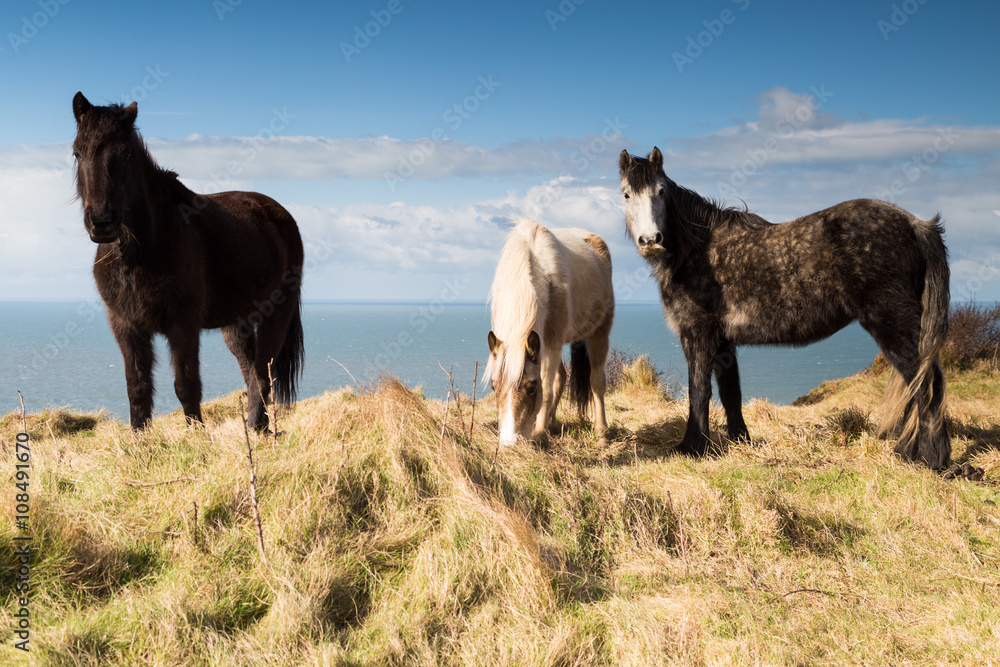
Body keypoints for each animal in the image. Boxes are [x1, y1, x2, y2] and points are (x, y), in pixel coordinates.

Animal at [72, 92, 304, 431]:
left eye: (126, 153)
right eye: (78, 153)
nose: (102, 222)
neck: (140, 250)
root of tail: (279, 214)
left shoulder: (182, 325)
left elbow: (186, 386)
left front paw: (197, 437)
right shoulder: (126, 325)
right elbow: (137, 388)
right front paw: (140, 440)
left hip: (276, 314)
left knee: (263, 376)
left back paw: (256, 430)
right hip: (237, 324)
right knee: (252, 375)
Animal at [485, 220, 615, 447]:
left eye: (531, 388)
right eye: (493, 386)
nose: (509, 443)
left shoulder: (552, 342)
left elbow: (547, 389)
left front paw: (538, 434)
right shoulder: (542, 344)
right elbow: (553, 383)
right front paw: (543, 429)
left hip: (599, 332)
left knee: (597, 381)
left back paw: (602, 433)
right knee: (561, 377)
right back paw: (551, 424)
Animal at [619, 147, 951, 469]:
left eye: (661, 191)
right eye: (626, 194)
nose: (651, 240)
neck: (697, 249)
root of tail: (914, 224)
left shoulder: (697, 334)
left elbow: (697, 391)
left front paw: (692, 447)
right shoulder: (723, 341)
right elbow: (730, 392)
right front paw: (740, 442)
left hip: (892, 321)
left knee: (925, 383)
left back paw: (932, 461)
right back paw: (910, 453)